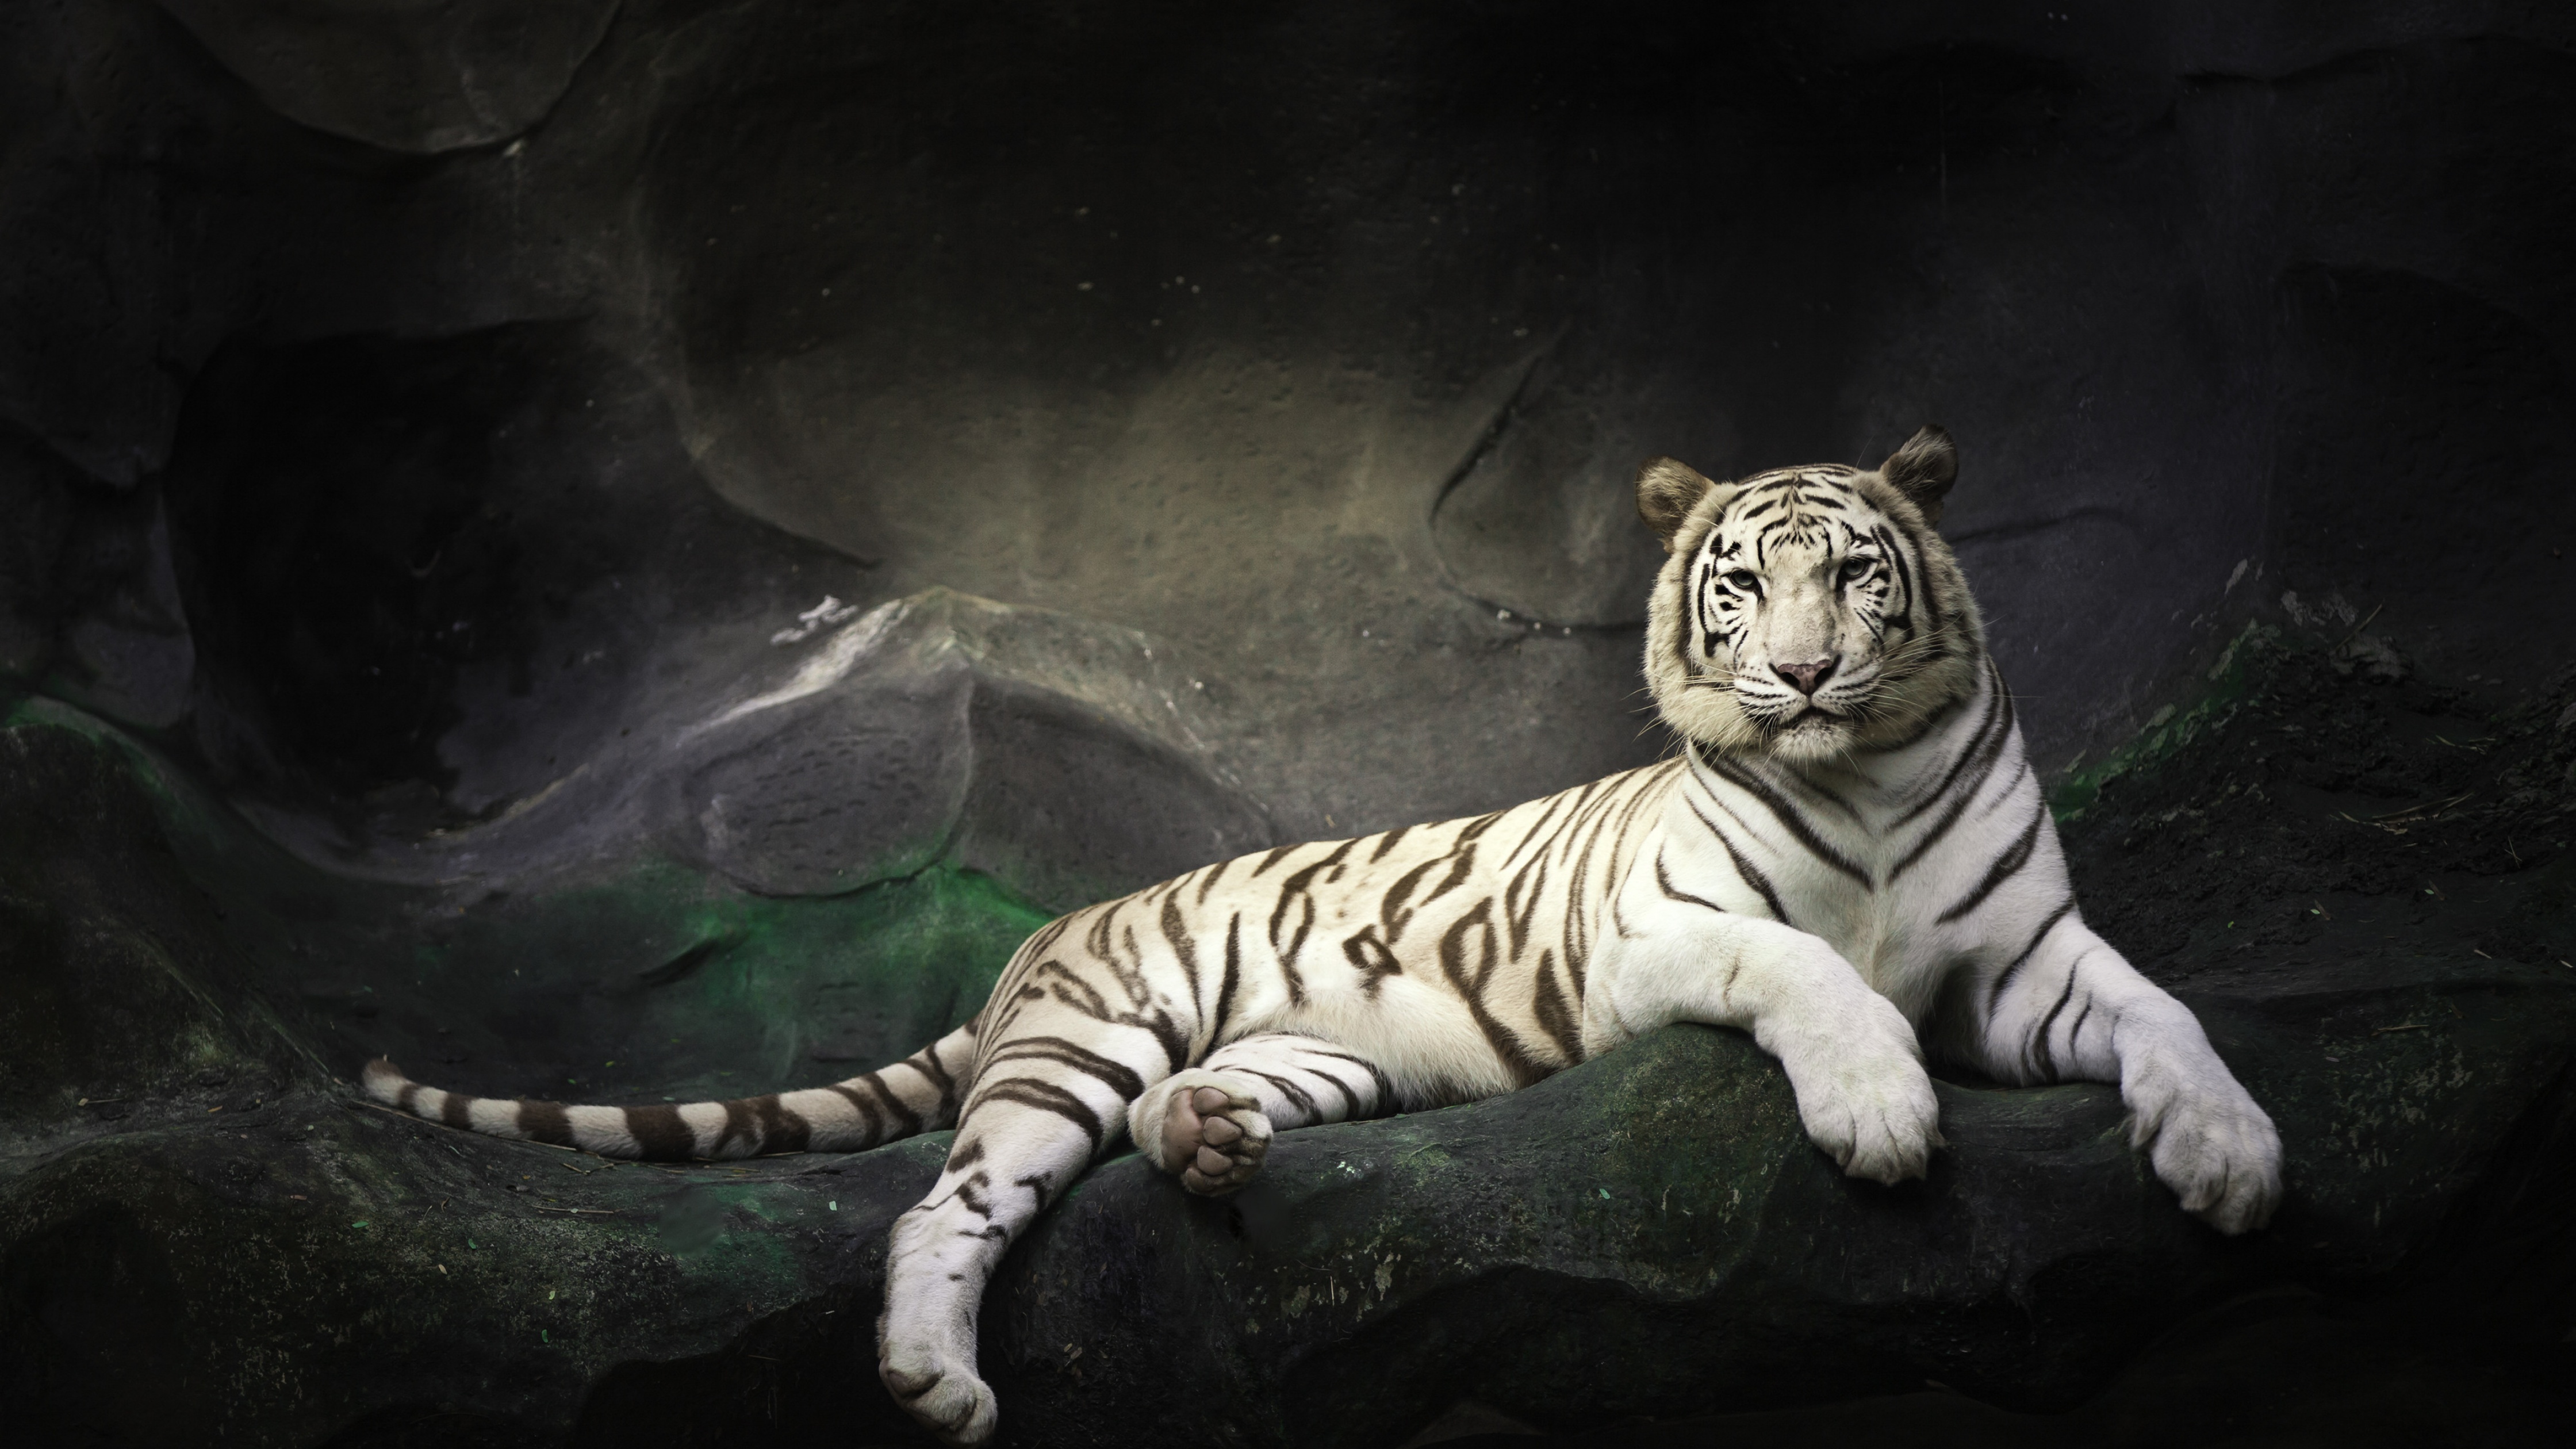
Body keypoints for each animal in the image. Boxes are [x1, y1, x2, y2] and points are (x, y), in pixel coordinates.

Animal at [366, 424, 2282, 1446]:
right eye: (1744, 584)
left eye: (1858, 577)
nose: (1804, 672)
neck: (1863, 775)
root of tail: (1036, 944)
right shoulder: (1657, 935)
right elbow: (1803, 965)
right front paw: (1879, 1116)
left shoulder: (2022, 964)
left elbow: (2167, 1014)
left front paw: (2234, 1157)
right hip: (1085, 1045)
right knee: (947, 1201)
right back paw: (934, 1379)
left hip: (1312, 1053)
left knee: (1176, 1121)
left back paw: (1211, 1142)